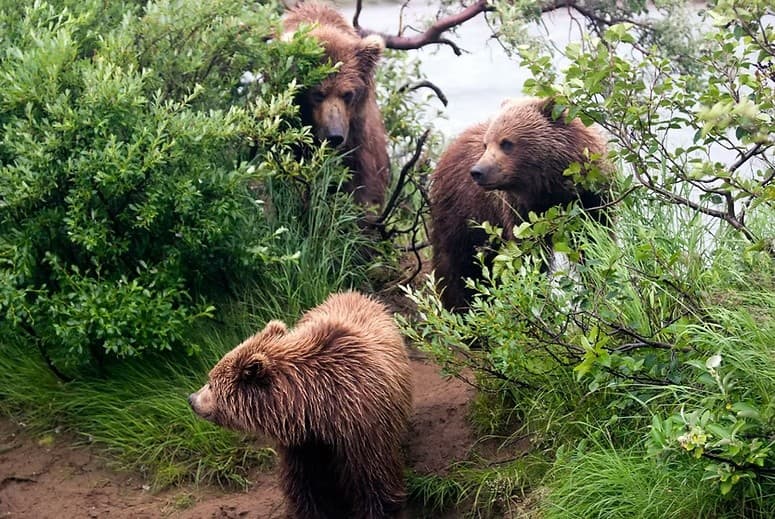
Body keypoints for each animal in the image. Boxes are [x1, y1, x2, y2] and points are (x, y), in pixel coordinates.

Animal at [188, 291, 413, 519]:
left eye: (211, 383)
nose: (191, 399)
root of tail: (351, 292)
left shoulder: (362, 429)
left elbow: (375, 482)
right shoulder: (302, 445)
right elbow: (305, 487)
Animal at [429, 96, 610, 311]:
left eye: (506, 143)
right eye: (485, 145)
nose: (477, 171)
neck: (551, 187)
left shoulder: (592, 197)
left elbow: (595, 241)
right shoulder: (520, 212)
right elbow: (528, 256)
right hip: (461, 219)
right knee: (457, 270)